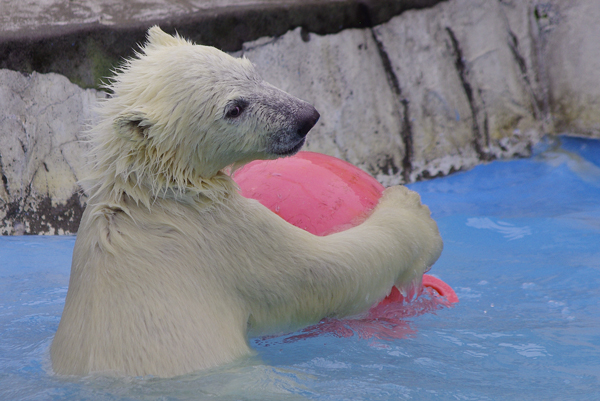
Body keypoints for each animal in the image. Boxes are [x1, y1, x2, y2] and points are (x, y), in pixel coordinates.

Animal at [51, 26, 442, 376]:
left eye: (252, 71)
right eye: (234, 109)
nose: (307, 117)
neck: (146, 192)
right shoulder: (223, 236)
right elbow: (328, 272)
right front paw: (414, 211)